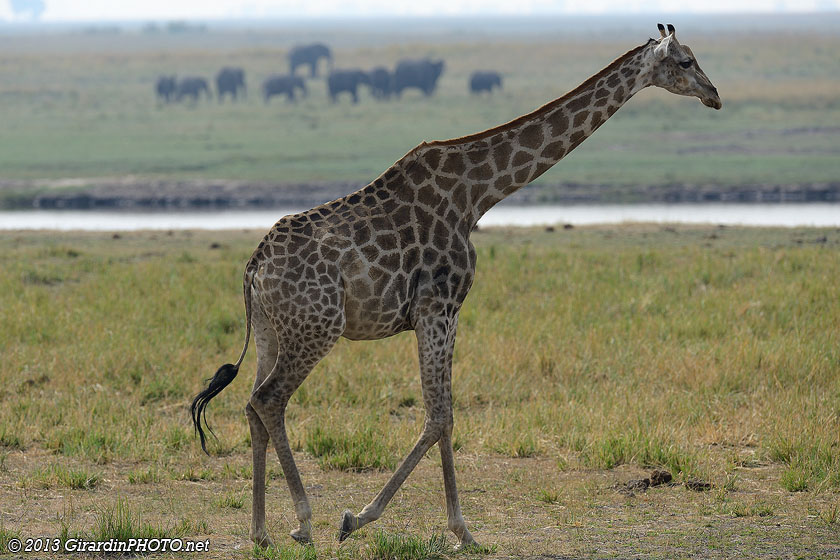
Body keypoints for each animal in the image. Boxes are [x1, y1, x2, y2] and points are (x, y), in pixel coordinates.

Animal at [191, 24, 721, 549]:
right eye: (686, 61)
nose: (714, 96)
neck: (477, 194)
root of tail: (253, 267)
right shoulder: (438, 307)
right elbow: (439, 415)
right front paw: (380, 520)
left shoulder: (446, 312)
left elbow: (444, 415)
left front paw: (445, 527)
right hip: (317, 328)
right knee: (269, 399)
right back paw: (302, 521)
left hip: (271, 330)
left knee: (252, 405)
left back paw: (261, 531)